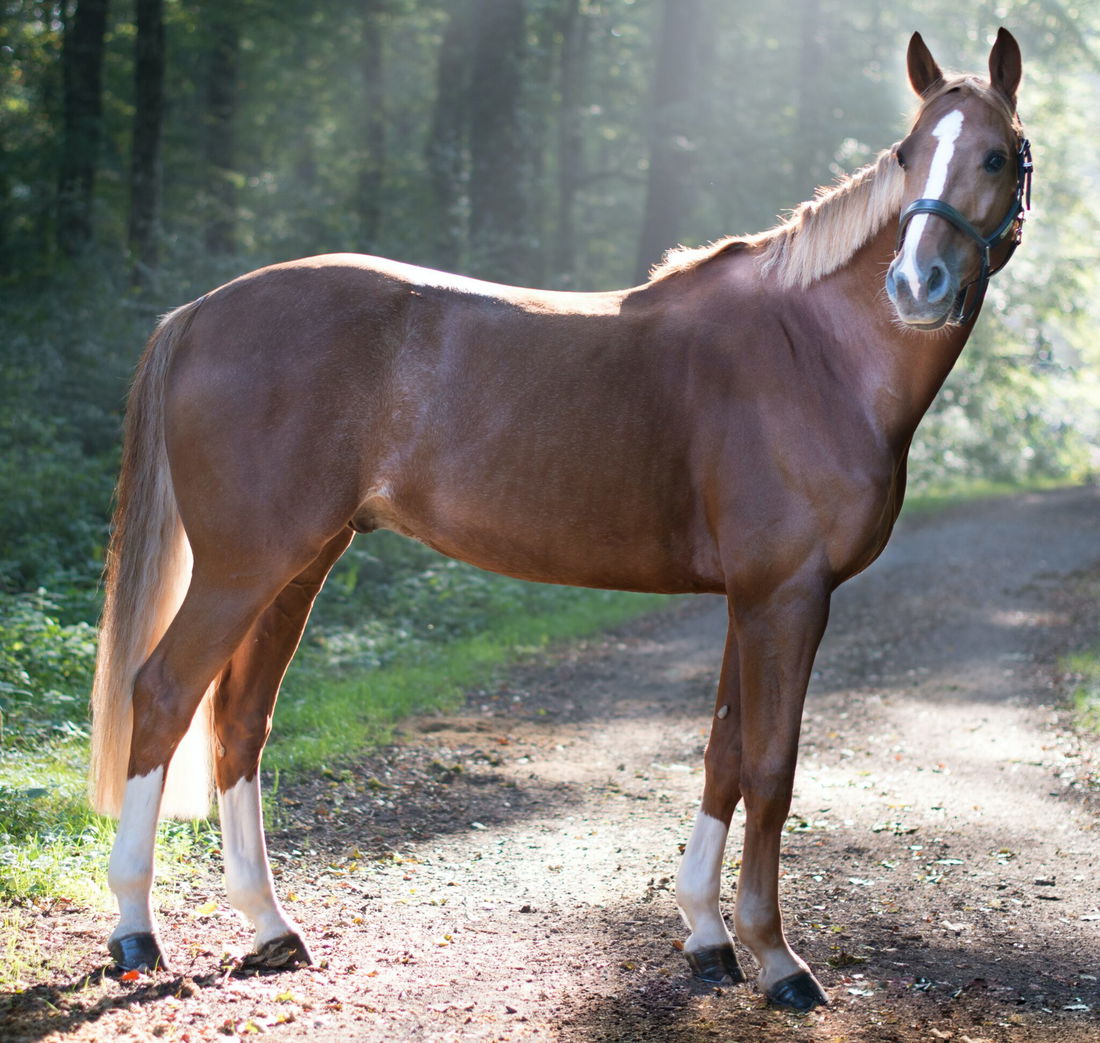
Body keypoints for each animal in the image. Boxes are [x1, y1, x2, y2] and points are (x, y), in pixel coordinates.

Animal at [90, 29, 1030, 1012]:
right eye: (909, 155)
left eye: (995, 156)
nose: (915, 284)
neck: (816, 351)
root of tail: (200, 312)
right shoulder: (788, 596)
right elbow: (771, 768)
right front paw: (776, 956)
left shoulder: (751, 598)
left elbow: (724, 754)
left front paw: (706, 936)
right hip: (244, 566)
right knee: (165, 693)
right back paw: (135, 930)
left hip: (297, 563)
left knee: (240, 718)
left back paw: (271, 927)